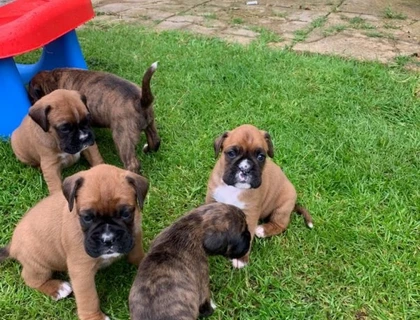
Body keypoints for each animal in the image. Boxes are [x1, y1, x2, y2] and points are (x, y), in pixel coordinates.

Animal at [0, 165, 149, 320]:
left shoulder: (135, 234)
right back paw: (57, 288)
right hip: (38, 265)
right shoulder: (81, 271)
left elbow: (137, 254)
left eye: (126, 214)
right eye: (87, 217)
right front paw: (94, 317)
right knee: (31, 279)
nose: (108, 239)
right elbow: (89, 298)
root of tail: (12, 245)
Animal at [27, 61, 162, 174]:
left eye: (32, 97)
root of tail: (140, 101)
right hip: (150, 124)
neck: (52, 78)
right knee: (155, 141)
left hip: (122, 136)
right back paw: (147, 150)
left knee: (132, 163)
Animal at [205, 124, 314, 268]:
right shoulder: (212, 200)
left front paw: (241, 259)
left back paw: (262, 230)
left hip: (283, 206)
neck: (234, 188)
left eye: (261, 156)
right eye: (231, 153)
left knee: (281, 225)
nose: (245, 168)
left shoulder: (250, 214)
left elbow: (249, 235)